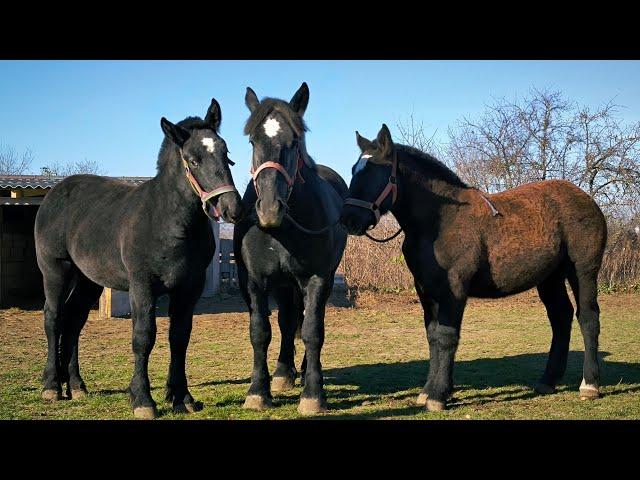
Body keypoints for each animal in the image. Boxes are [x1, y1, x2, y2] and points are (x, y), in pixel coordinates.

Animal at [33, 99, 242, 418]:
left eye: (225, 153)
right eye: (193, 160)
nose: (232, 207)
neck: (169, 222)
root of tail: (54, 194)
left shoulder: (188, 288)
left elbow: (179, 337)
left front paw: (183, 397)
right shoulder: (142, 285)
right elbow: (144, 337)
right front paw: (143, 400)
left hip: (88, 280)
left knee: (74, 320)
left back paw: (77, 386)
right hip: (56, 270)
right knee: (54, 317)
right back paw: (52, 387)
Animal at [234, 84, 348, 414]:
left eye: (294, 142)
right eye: (252, 140)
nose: (270, 209)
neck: (281, 231)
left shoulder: (317, 278)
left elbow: (312, 331)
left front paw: (313, 394)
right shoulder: (254, 281)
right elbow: (260, 332)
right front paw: (258, 392)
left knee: (309, 321)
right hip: (285, 285)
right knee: (286, 322)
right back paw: (283, 373)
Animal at [338, 125, 608, 410]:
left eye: (375, 172)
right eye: (354, 170)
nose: (348, 219)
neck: (440, 221)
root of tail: (588, 200)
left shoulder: (453, 290)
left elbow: (446, 337)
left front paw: (437, 396)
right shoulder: (426, 291)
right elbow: (433, 337)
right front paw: (431, 390)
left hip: (583, 271)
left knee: (588, 317)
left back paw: (589, 385)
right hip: (550, 278)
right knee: (560, 318)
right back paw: (548, 381)